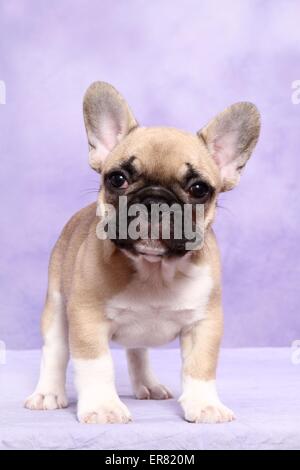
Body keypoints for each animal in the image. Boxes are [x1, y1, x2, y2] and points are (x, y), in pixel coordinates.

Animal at [25, 82, 260, 424]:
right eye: (117, 178)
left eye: (199, 189)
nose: (155, 201)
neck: (154, 270)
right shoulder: (86, 318)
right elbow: (96, 365)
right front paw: (103, 407)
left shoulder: (204, 323)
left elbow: (200, 366)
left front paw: (205, 404)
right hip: (56, 304)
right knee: (54, 351)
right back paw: (48, 393)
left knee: (137, 351)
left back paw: (148, 385)